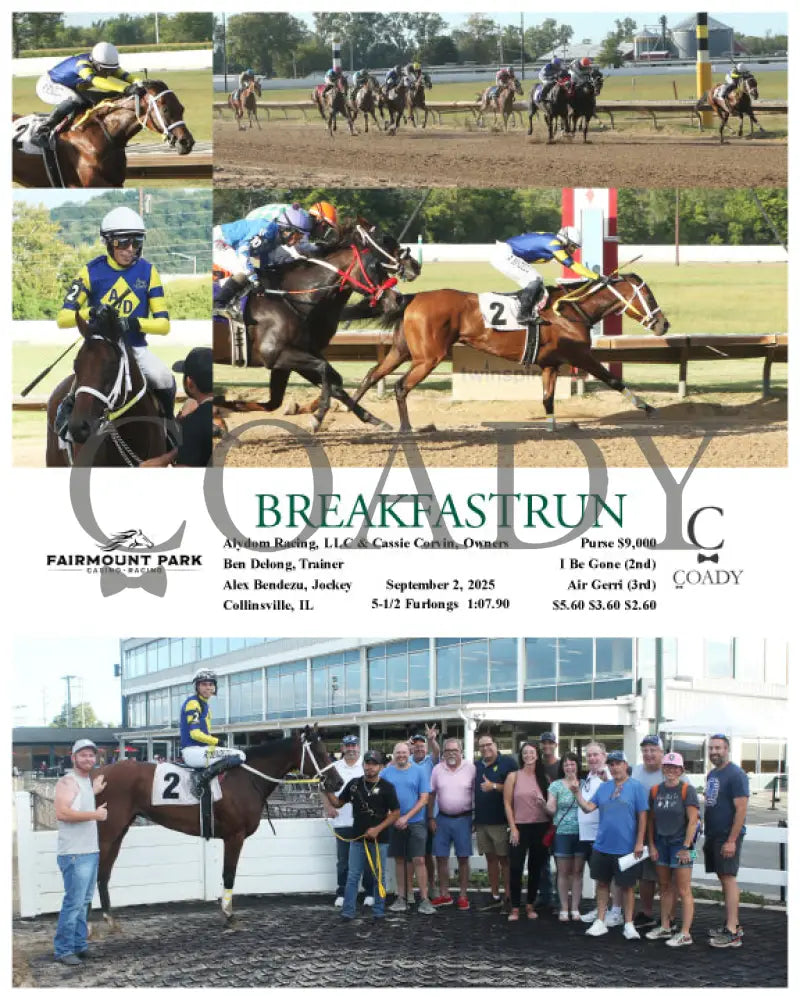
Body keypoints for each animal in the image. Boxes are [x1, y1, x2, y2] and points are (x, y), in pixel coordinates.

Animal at [94, 726, 341, 927]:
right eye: (319, 752)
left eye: (326, 750)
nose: (337, 782)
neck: (247, 778)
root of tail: (99, 773)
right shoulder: (234, 836)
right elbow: (229, 874)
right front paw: (228, 914)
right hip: (107, 832)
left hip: (119, 832)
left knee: (104, 872)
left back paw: (108, 917)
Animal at [213, 221, 420, 431]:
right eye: (375, 265)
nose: (398, 298)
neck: (290, 297)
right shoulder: (276, 354)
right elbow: (324, 369)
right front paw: (317, 417)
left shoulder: (290, 359)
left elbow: (329, 383)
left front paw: (375, 420)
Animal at [344, 274, 670, 433]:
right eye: (648, 295)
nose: (663, 324)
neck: (571, 310)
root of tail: (412, 297)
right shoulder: (580, 356)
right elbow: (613, 380)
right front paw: (647, 407)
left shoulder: (551, 364)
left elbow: (547, 399)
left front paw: (554, 427)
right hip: (428, 357)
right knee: (400, 386)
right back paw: (406, 427)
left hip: (402, 351)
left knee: (372, 374)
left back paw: (354, 413)